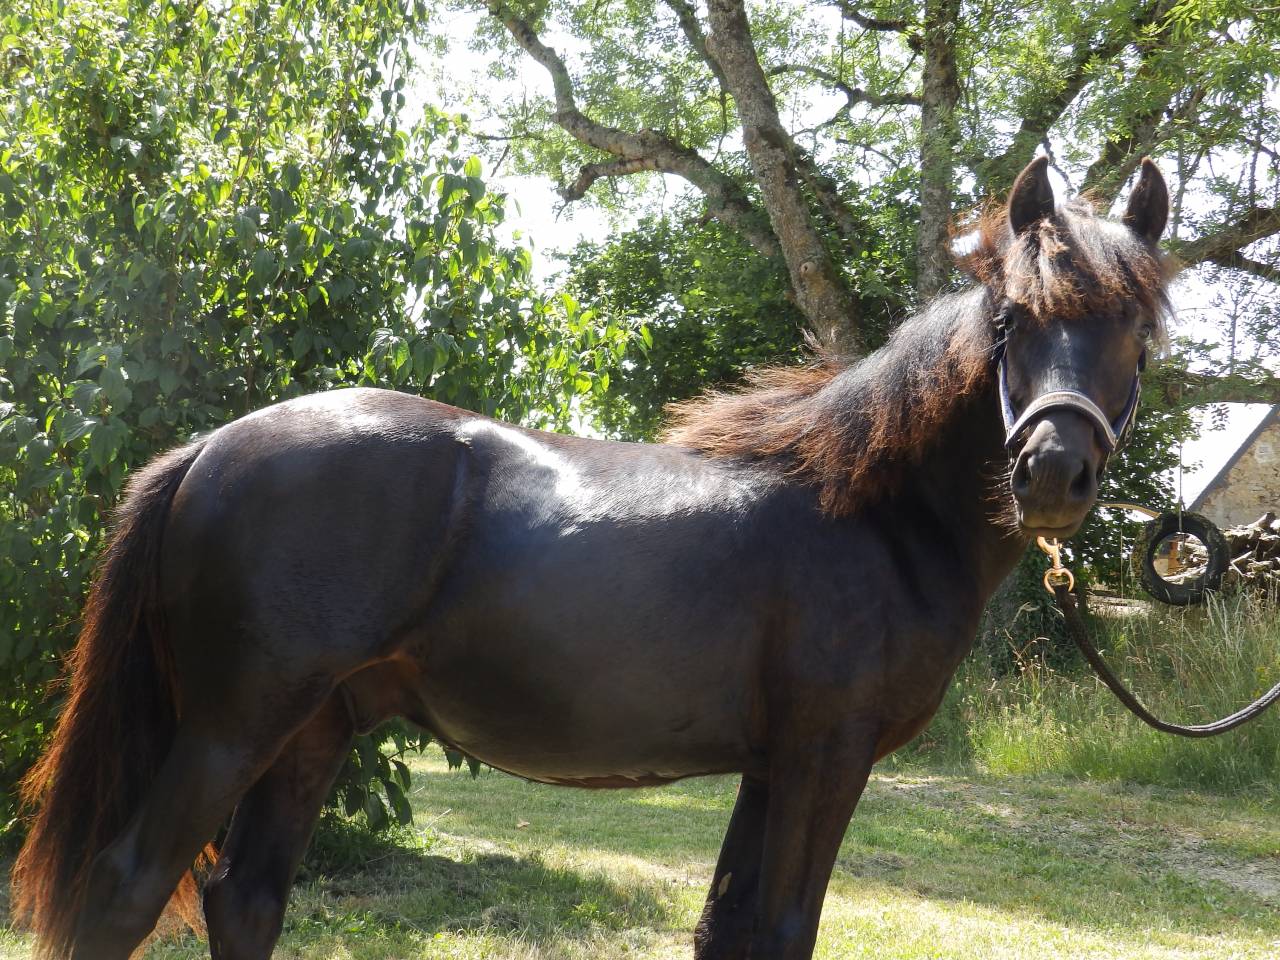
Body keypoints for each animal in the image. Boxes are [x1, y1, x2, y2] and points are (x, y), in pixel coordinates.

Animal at [12, 156, 1173, 960]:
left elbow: (727, 931)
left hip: (311, 731)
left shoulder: (772, 764)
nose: (1053, 473)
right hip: (231, 726)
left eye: (1139, 329)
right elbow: (779, 931)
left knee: (245, 900)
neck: (872, 513)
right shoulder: (825, 756)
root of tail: (209, 446)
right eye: (1012, 318)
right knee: (126, 889)